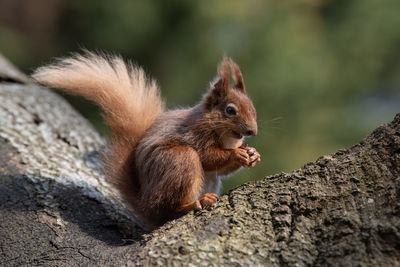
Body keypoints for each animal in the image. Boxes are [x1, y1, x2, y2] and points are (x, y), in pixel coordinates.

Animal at [32, 52, 260, 230]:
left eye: (253, 108)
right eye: (230, 110)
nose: (253, 131)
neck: (226, 136)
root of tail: (144, 203)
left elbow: (222, 169)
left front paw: (253, 154)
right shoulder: (196, 133)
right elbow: (208, 157)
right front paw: (236, 154)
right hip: (179, 160)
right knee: (168, 209)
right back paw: (194, 203)